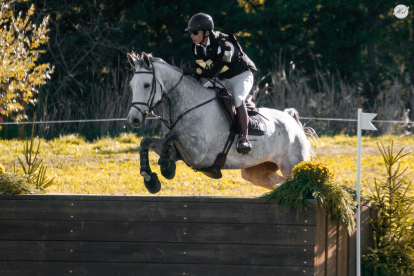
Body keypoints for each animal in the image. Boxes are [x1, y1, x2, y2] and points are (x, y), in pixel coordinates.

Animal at [127, 52, 314, 194]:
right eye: (131, 85)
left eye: (146, 85)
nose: (133, 120)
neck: (186, 106)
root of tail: (290, 119)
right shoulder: (181, 153)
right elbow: (147, 141)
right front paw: (150, 178)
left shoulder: (198, 153)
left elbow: (171, 135)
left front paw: (166, 168)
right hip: (255, 171)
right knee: (279, 183)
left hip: (292, 164)